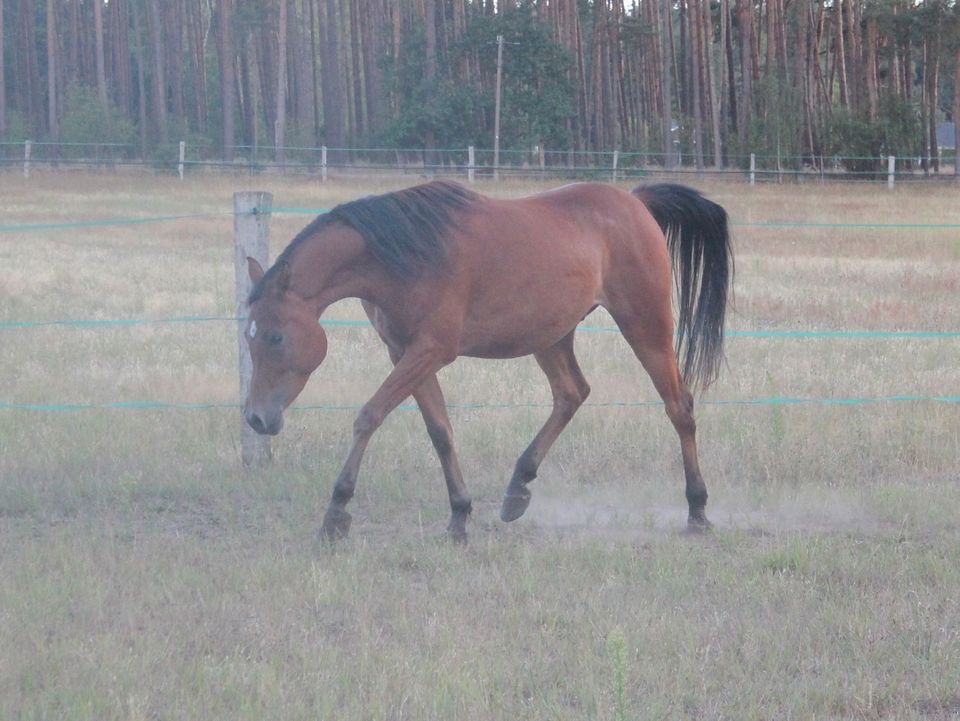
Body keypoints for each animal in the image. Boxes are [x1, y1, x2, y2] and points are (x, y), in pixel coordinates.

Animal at [244, 180, 732, 540]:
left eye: (275, 336)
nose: (255, 419)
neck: (404, 256)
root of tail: (635, 201)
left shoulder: (429, 351)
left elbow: (368, 416)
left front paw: (337, 511)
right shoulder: (406, 353)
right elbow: (440, 432)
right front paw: (459, 516)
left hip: (645, 326)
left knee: (678, 407)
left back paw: (698, 509)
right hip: (551, 335)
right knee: (571, 394)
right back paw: (518, 488)